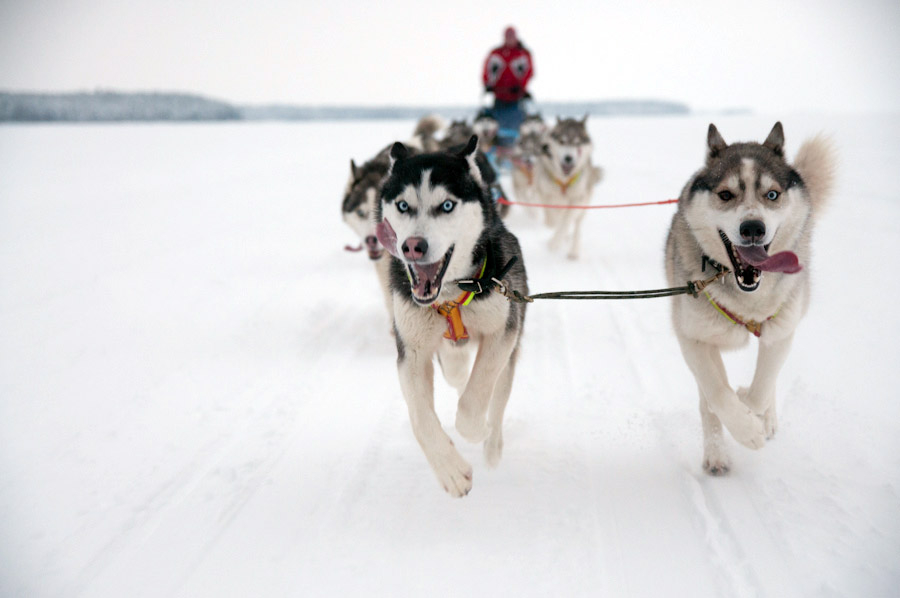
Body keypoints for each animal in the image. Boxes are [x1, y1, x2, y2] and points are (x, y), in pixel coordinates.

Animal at [374, 138, 528, 500]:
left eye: (446, 205)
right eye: (403, 205)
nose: (413, 246)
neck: (447, 299)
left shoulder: (502, 333)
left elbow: (476, 397)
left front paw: (474, 429)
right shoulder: (412, 353)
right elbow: (420, 418)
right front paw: (451, 471)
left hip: (510, 352)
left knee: (496, 401)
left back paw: (492, 446)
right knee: (457, 373)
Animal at [536, 116, 604, 258]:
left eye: (577, 143)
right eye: (562, 141)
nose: (569, 158)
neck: (564, 181)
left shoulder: (577, 199)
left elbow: (565, 221)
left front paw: (554, 243)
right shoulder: (546, 196)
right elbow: (553, 218)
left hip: (584, 204)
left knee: (576, 225)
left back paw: (573, 251)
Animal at [668, 123, 836, 478]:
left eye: (772, 194)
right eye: (725, 195)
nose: (753, 228)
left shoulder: (781, 331)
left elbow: (760, 388)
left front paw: (751, 410)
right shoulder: (694, 337)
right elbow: (717, 393)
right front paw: (745, 431)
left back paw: (763, 418)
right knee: (709, 396)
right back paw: (717, 453)